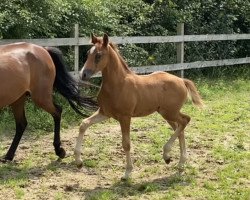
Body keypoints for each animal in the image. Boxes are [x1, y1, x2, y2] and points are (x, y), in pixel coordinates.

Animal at [74, 33, 203, 180]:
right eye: (88, 53)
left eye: (98, 55)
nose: (83, 74)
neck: (118, 84)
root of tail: (182, 80)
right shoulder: (104, 112)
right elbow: (84, 124)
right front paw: (79, 162)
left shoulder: (125, 117)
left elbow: (126, 144)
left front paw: (127, 172)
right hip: (167, 114)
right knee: (180, 128)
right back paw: (178, 162)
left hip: (170, 112)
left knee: (185, 120)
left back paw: (168, 154)